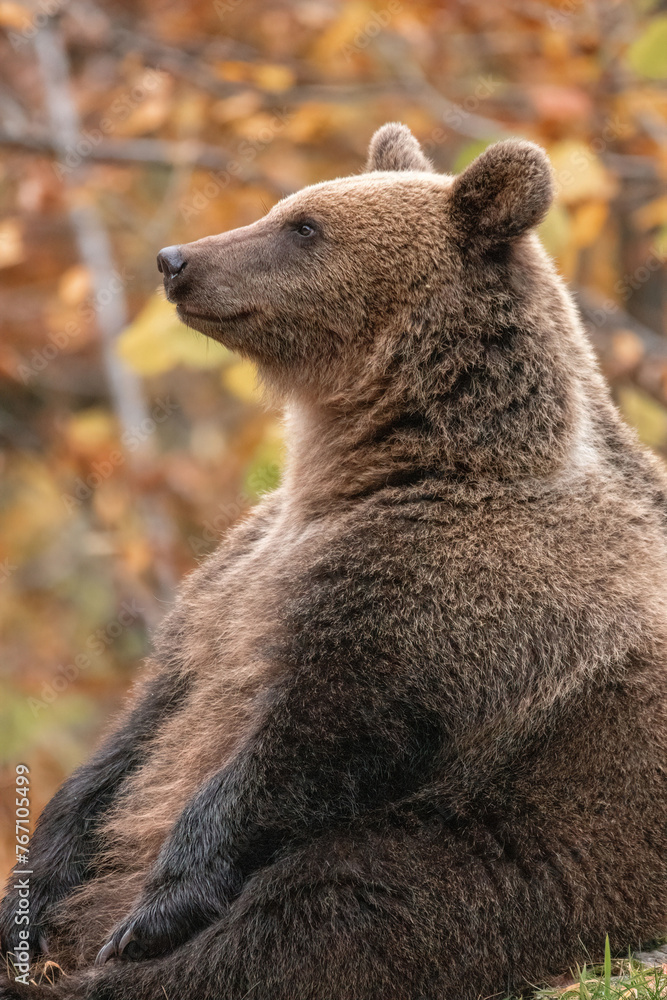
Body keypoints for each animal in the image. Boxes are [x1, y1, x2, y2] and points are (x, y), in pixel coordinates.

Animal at [2, 122, 667, 1000]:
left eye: (304, 226)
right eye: (286, 208)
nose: (176, 259)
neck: (368, 461)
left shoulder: (445, 594)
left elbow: (305, 743)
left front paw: (153, 913)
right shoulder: (233, 580)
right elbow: (142, 725)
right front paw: (33, 878)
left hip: (538, 835)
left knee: (326, 909)